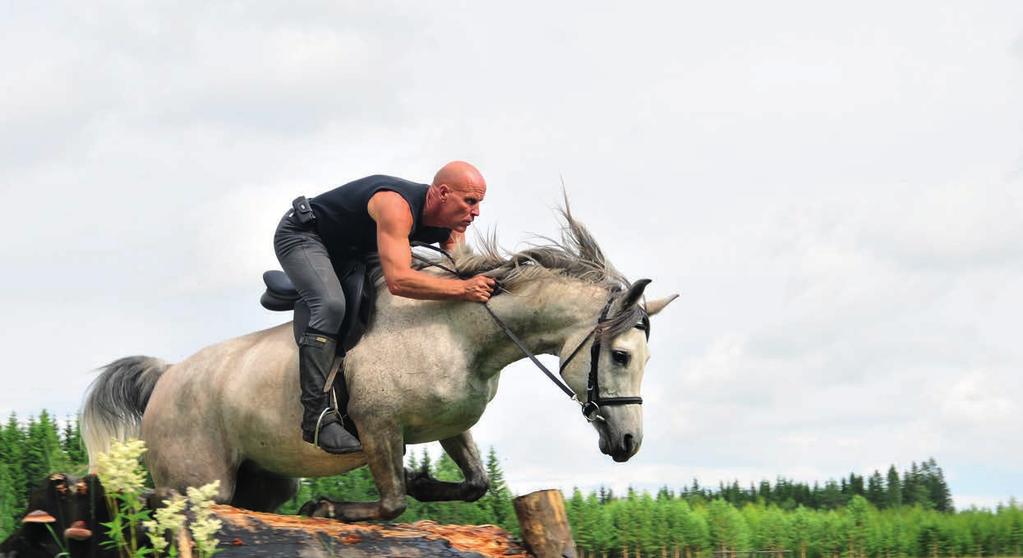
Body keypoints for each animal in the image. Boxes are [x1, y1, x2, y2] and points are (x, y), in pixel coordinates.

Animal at [81, 206, 679, 520]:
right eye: (621, 355)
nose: (628, 443)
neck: (463, 333)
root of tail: (166, 376)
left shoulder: (449, 426)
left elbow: (474, 483)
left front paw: (422, 482)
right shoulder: (377, 428)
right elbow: (390, 503)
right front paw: (331, 508)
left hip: (259, 482)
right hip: (197, 479)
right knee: (151, 498)